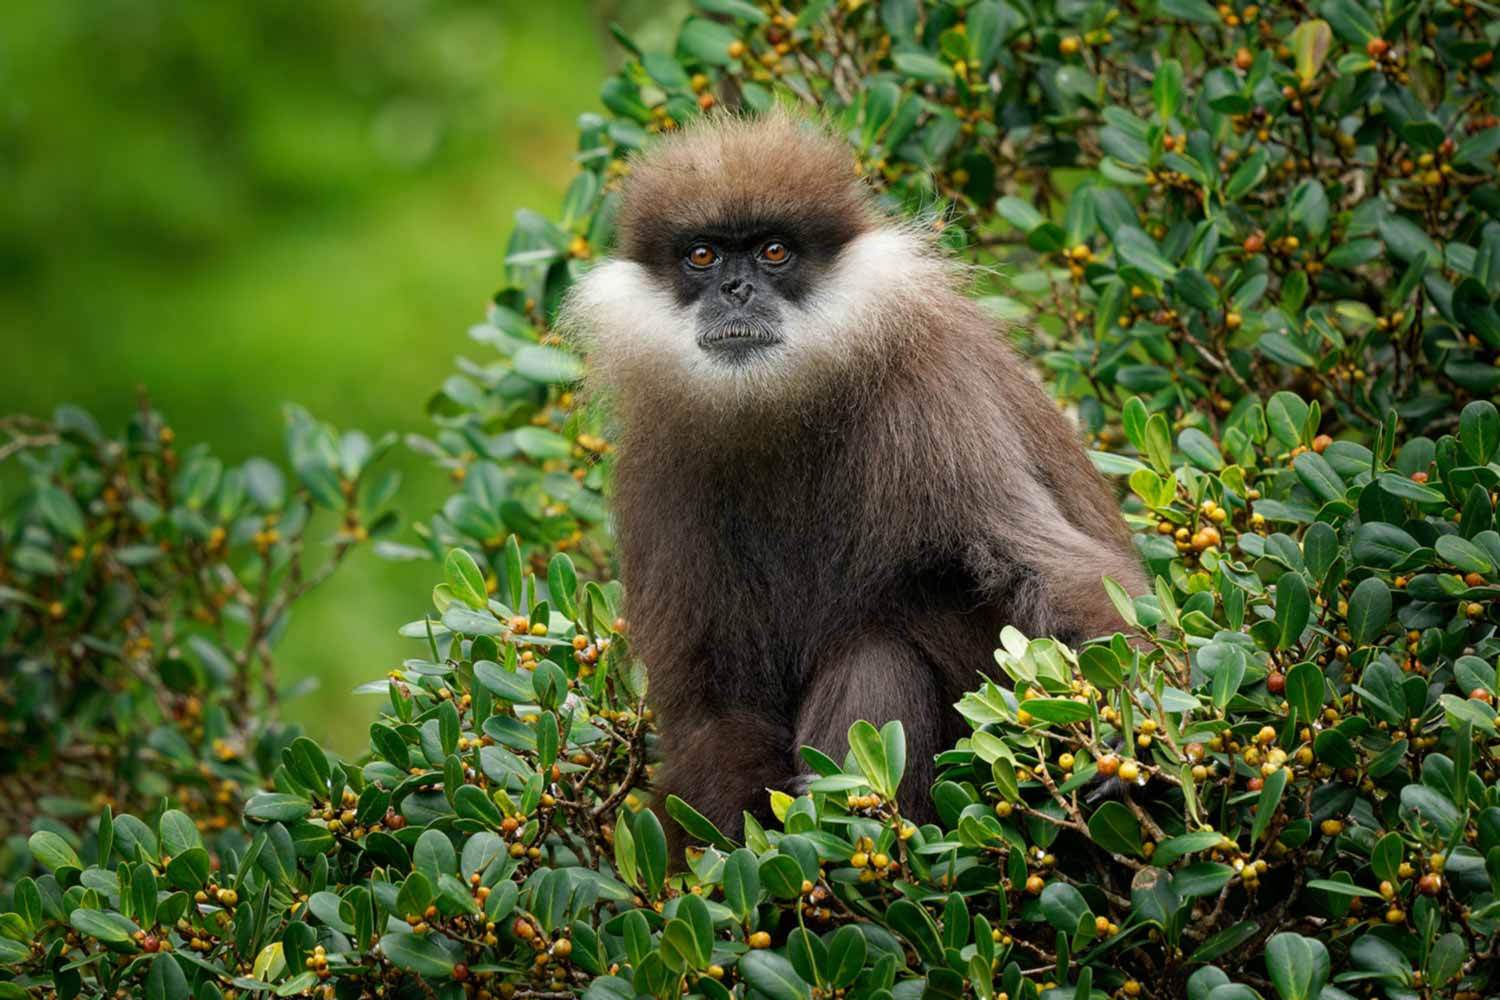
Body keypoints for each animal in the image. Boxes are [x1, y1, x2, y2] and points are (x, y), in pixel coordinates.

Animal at [559, 109, 1148, 848]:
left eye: (774, 252)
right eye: (702, 257)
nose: (735, 290)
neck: (785, 406)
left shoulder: (931, 398)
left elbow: (1045, 565)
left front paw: (1124, 717)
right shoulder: (659, 464)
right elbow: (715, 709)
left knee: (878, 649)